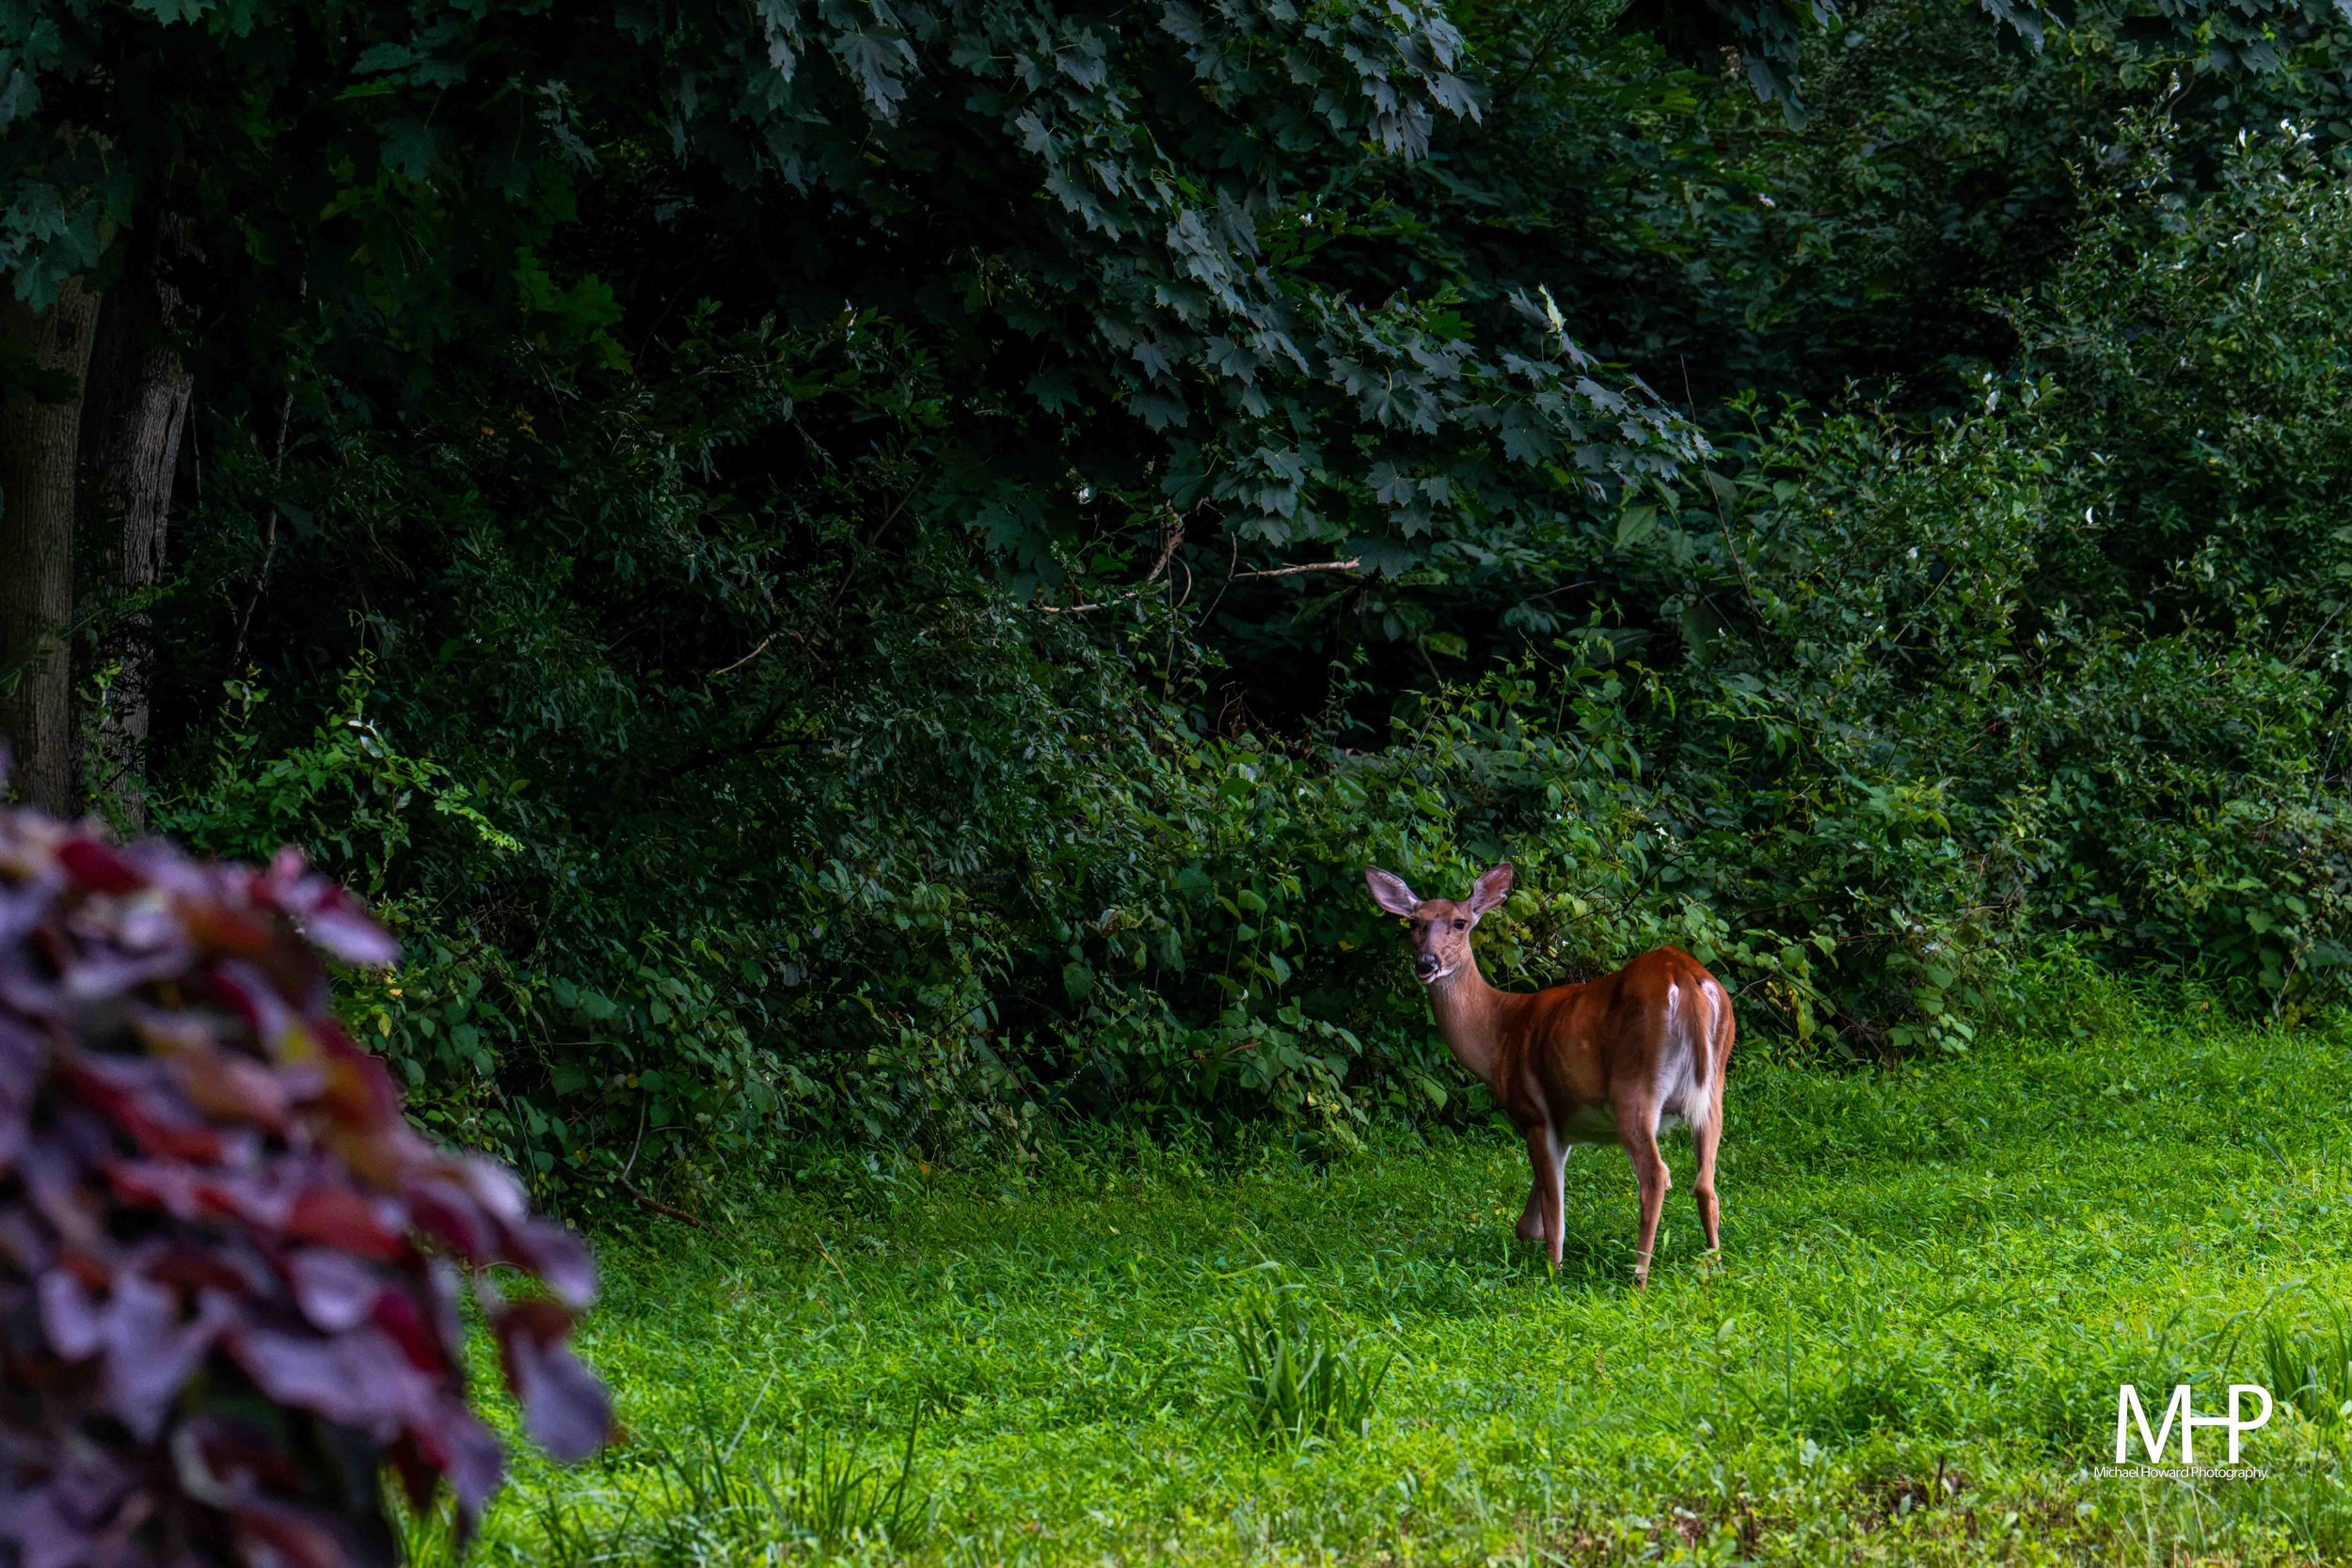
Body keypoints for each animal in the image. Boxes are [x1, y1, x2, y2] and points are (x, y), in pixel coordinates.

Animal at [1364, 862, 1734, 1288]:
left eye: (1460, 923)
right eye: (1414, 922)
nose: (1426, 963)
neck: (1498, 1034)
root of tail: (1684, 976)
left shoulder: (1534, 1113)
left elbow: (1554, 1212)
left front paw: (1553, 1273)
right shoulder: (1565, 1123)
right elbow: (1531, 1217)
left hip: (1634, 1087)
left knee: (1656, 1176)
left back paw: (1638, 1278)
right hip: (1714, 1087)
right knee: (1705, 1182)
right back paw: (1715, 1263)